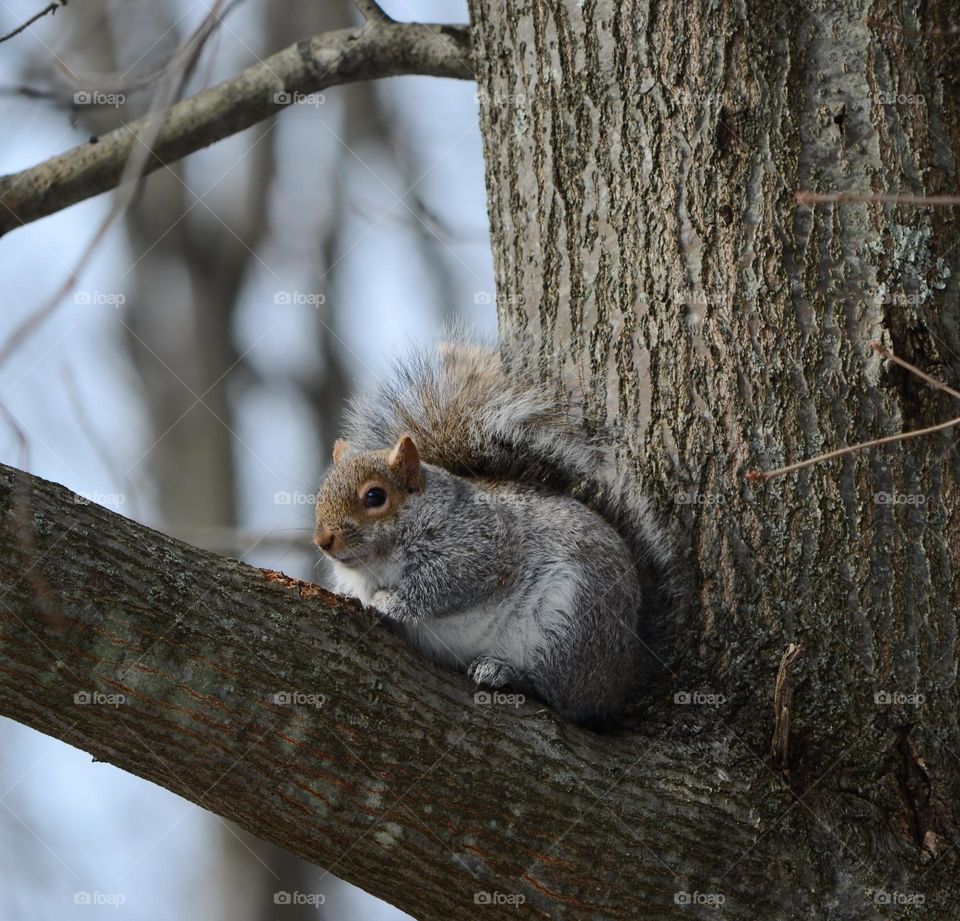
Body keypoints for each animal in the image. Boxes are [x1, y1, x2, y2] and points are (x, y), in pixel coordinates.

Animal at [313, 337, 677, 729]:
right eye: (321, 492)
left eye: (375, 497)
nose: (323, 541)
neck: (376, 565)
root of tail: (622, 677)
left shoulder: (479, 546)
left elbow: (441, 588)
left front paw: (386, 601)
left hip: (571, 625)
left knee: (562, 699)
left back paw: (503, 672)